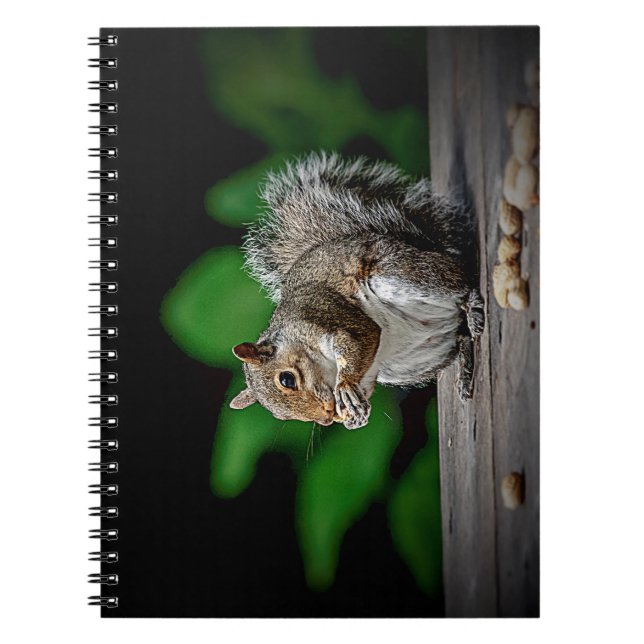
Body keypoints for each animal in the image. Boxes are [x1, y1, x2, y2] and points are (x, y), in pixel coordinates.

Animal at [229, 151, 485, 429]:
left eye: (287, 379)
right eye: (280, 415)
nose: (326, 418)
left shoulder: (331, 319)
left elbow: (362, 338)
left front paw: (345, 385)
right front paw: (353, 415)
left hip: (399, 275)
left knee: (462, 286)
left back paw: (472, 308)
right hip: (410, 362)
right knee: (460, 338)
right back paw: (465, 372)